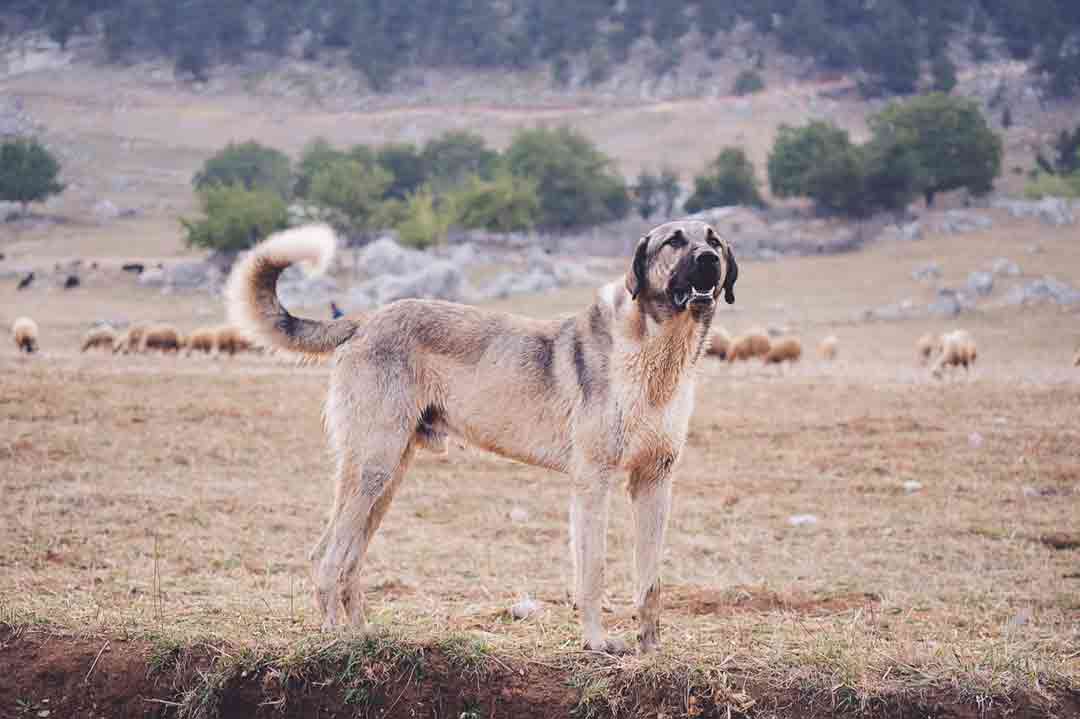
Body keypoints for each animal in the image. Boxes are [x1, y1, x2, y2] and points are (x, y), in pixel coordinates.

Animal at [225, 221, 734, 652]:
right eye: (674, 241)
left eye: (714, 238)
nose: (710, 259)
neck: (657, 355)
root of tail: (366, 319)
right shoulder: (593, 483)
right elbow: (593, 572)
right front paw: (596, 644)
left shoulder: (654, 483)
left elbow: (650, 582)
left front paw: (651, 652)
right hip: (373, 467)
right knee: (326, 558)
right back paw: (336, 641)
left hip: (388, 478)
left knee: (348, 561)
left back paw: (364, 637)